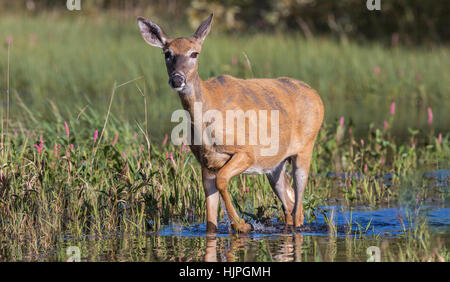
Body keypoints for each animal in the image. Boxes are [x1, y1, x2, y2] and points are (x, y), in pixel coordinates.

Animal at [137, 13, 324, 234]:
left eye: (194, 53)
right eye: (167, 53)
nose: (177, 79)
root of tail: (317, 96)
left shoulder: (247, 151)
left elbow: (223, 179)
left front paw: (242, 224)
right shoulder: (206, 164)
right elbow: (210, 221)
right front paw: (237, 224)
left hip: (305, 148)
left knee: (298, 208)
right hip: (275, 164)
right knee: (289, 203)